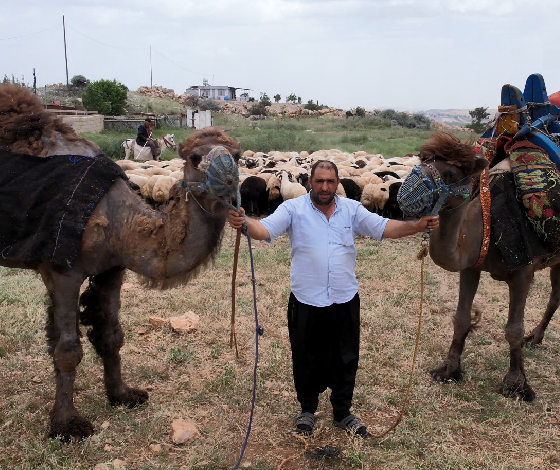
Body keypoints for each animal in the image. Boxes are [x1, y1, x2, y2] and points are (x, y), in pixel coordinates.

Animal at [0, 84, 241, 440]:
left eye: (237, 155)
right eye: (195, 158)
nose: (228, 177)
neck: (116, 216)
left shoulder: (112, 268)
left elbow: (111, 335)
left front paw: (122, 395)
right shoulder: (63, 270)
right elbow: (67, 349)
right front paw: (67, 424)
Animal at [402, 131, 560, 400]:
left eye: (450, 174)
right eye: (423, 160)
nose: (404, 193)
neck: (487, 223)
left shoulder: (523, 271)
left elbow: (514, 329)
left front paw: (517, 385)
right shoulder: (471, 266)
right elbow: (461, 318)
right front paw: (449, 370)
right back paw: (535, 338)